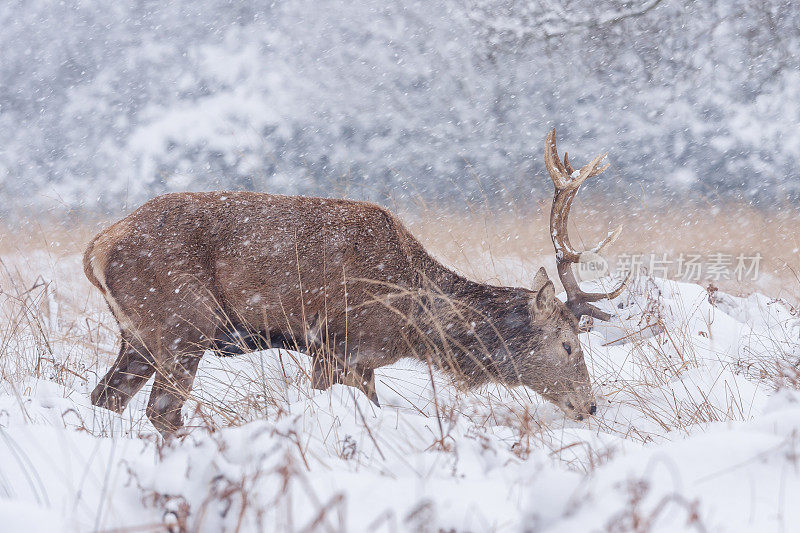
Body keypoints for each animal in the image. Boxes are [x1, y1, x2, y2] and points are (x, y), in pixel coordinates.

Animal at [86, 130, 624, 436]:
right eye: (567, 344)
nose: (590, 406)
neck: (413, 321)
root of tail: (98, 248)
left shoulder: (354, 358)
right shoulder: (339, 344)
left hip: (138, 335)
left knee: (105, 398)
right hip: (184, 322)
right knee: (161, 410)